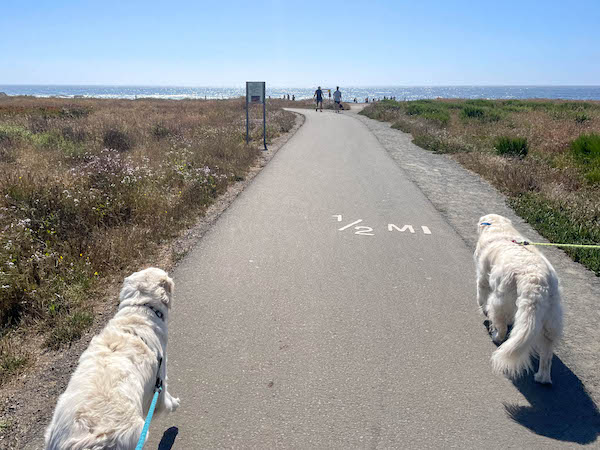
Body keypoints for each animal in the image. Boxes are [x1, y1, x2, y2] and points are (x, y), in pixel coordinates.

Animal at [474, 214, 564, 384]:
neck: (501, 230)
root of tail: (537, 283)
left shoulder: (482, 277)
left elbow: (481, 296)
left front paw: (483, 310)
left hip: (499, 301)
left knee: (502, 326)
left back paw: (496, 336)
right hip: (551, 320)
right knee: (547, 354)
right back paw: (542, 378)